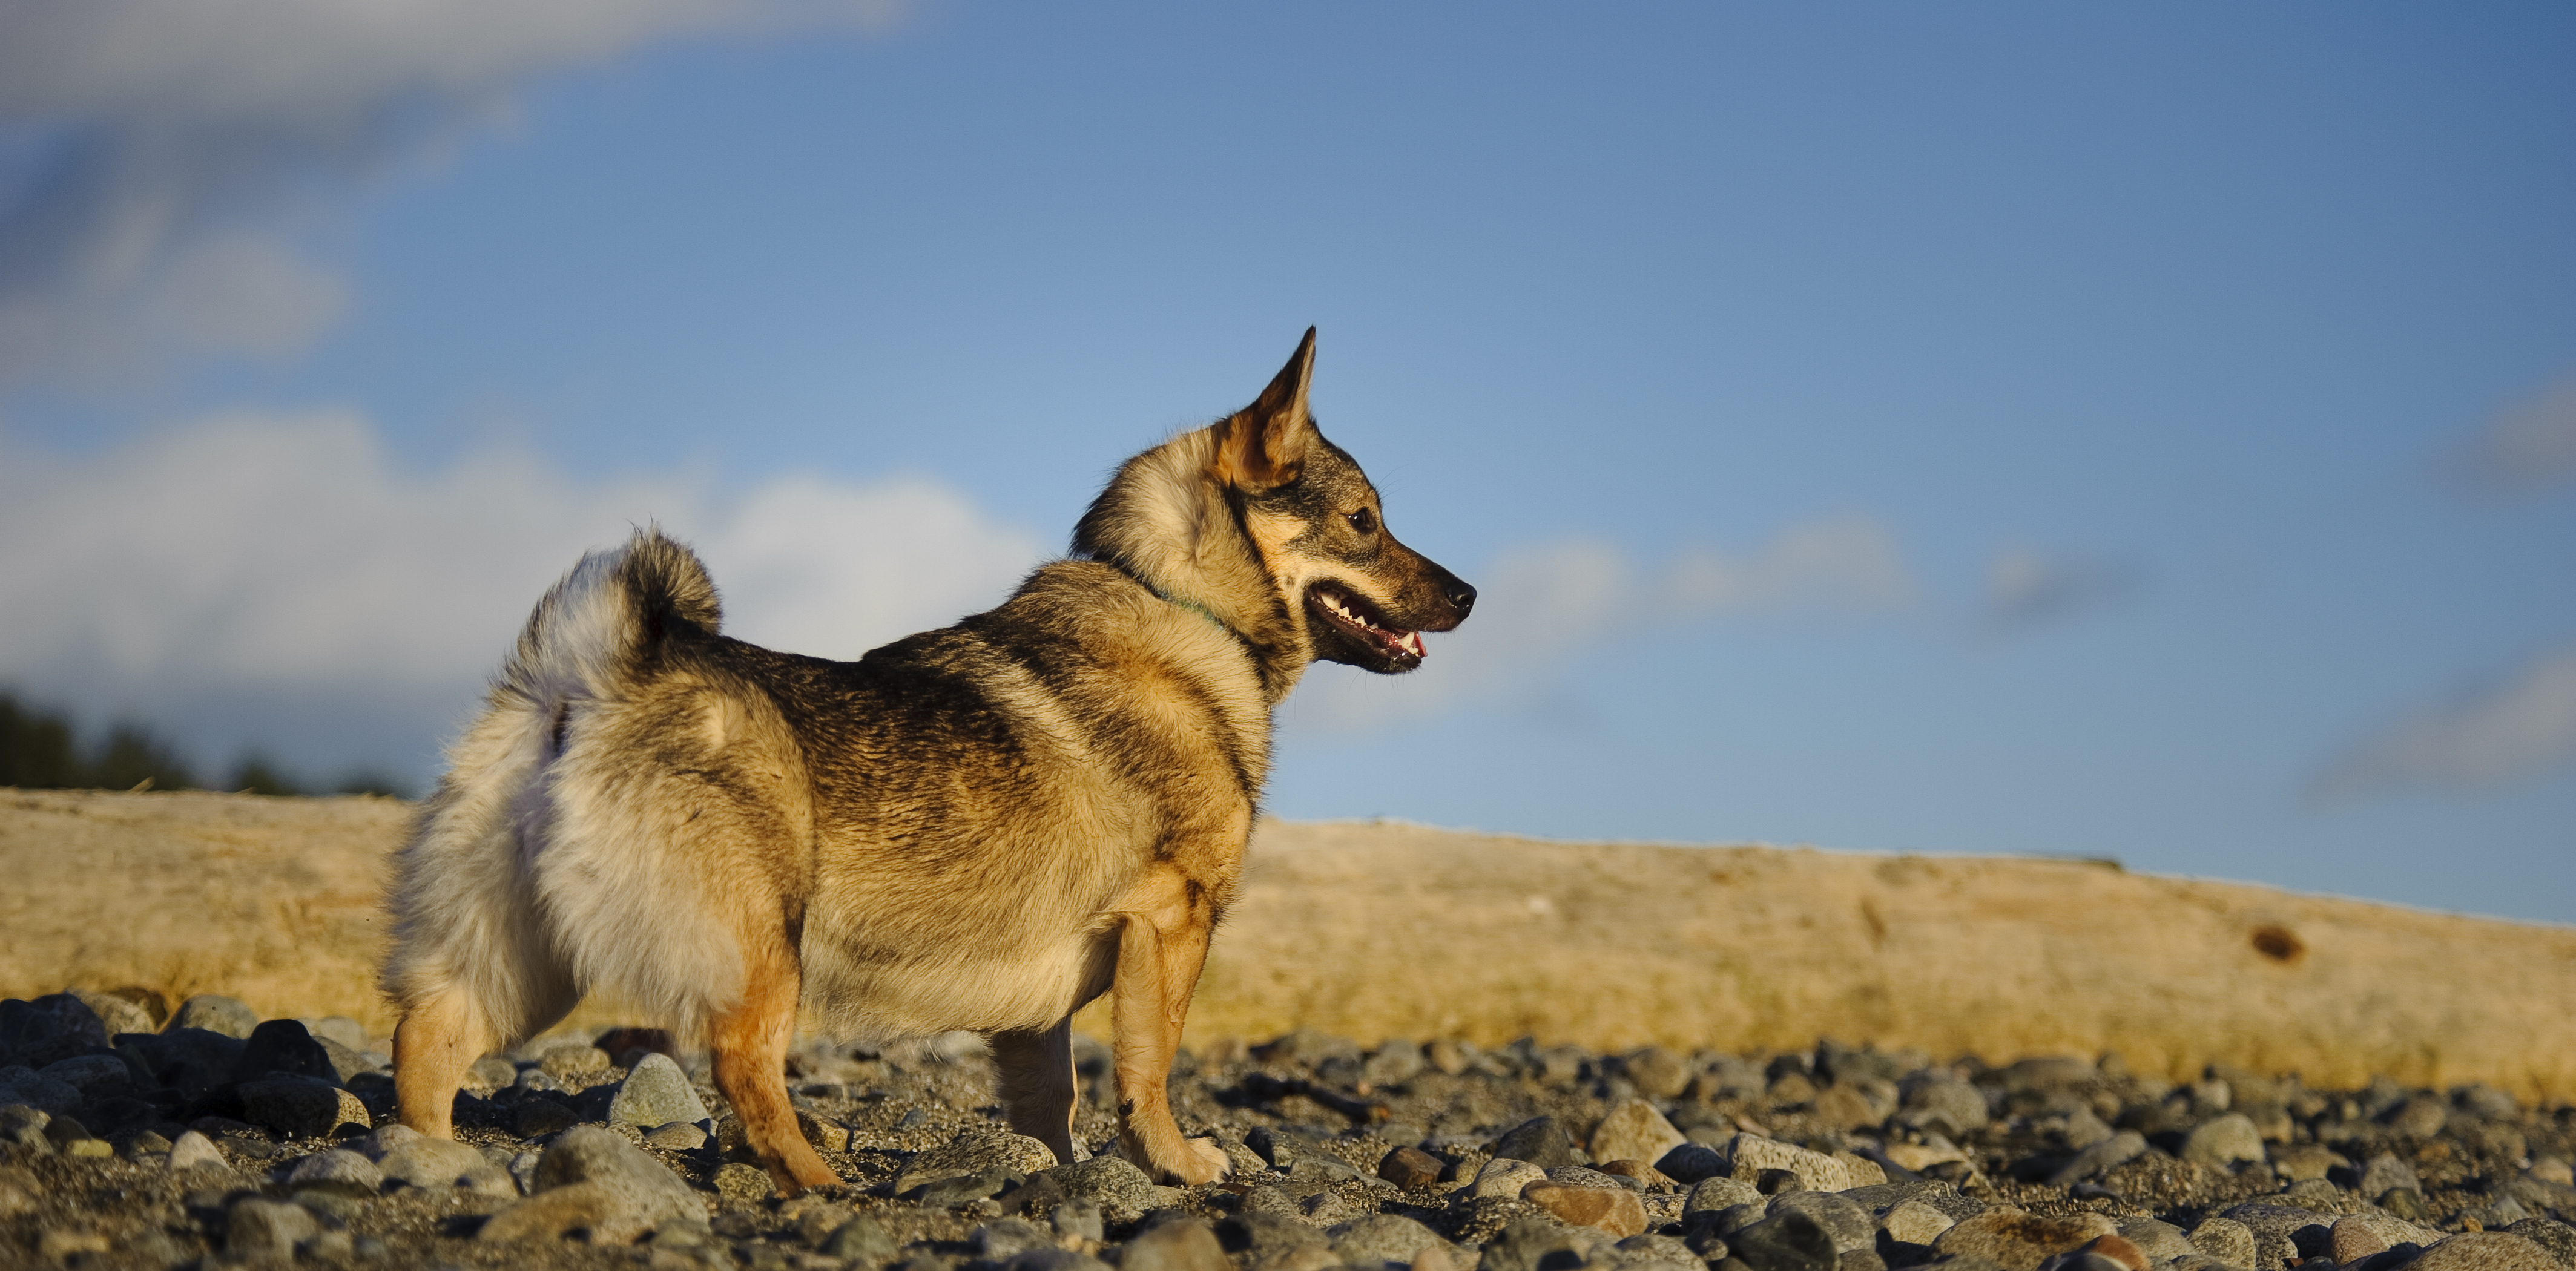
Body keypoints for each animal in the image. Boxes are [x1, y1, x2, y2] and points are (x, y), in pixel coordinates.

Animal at [376, 328, 1483, 1194]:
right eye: (1365, 523)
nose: (1471, 595)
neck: (1176, 600)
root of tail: (597, 672)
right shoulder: (1173, 923)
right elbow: (1150, 1070)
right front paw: (1175, 1163)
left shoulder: (1044, 1010)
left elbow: (1054, 1099)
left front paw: (1064, 1174)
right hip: (759, 947)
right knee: (743, 1070)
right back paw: (819, 1183)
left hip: (519, 959)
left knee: (425, 1045)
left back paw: (437, 1165)